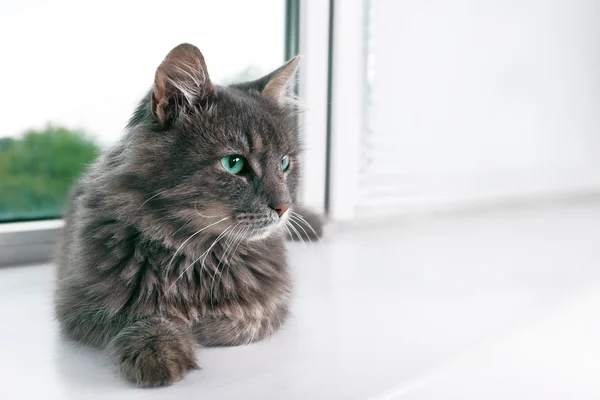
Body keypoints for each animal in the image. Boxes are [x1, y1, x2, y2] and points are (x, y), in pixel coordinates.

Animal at [52, 43, 324, 388]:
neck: (197, 254)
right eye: (234, 163)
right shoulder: (81, 304)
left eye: (285, 163)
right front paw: (160, 348)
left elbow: (242, 320)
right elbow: (140, 315)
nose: (284, 207)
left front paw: (200, 327)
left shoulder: (274, 302)